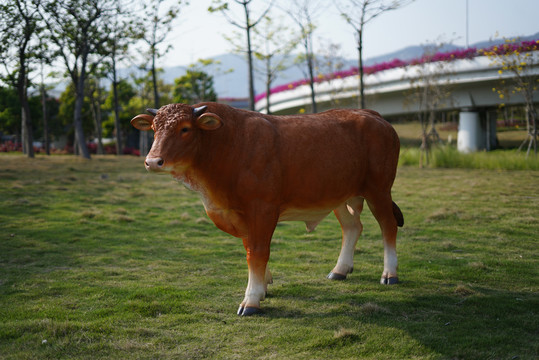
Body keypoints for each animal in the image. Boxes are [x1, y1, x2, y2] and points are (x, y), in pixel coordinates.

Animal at [132, 102, 404, 316]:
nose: (152, 161)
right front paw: (262, 288)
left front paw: (251, 299)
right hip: (340, 194)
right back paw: (340, 270)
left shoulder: (262, 209)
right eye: (154, 129)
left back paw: (389, 274)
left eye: (185, 129)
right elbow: (249, 248)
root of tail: (370, 113)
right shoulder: (241, 214)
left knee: (388, 226)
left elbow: (257, 252)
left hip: (379, 189)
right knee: (352, 227)